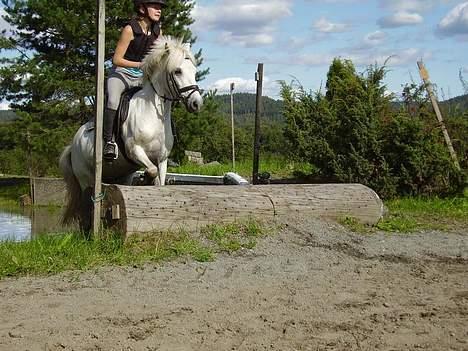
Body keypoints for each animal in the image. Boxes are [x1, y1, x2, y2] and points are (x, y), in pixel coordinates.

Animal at [59, 36, 203, 226]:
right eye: (177, 71)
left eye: (194, 71)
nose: (196, 103)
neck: (153, 113)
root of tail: (73, 145)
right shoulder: (135, 150)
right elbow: (151, 170)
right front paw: (145, 180)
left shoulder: (162, 158)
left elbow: (159, 180)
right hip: (85, 177)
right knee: (86, 202)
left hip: (121, 175)